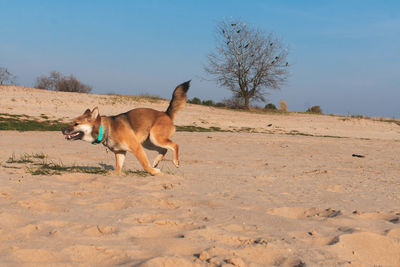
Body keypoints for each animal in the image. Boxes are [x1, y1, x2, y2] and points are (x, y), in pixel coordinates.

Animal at [61, 80, 190, 176]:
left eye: (76, 123)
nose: (62, 130)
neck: (107, 129)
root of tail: (166, 114)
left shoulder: (137, 148)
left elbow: (145, 165)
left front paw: (154, 172)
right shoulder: (120, 152)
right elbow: (118, 168)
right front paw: (113, 173)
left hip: (155, 138)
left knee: (175, 145)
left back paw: (175, 162)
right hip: (148, 142)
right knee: (164, 149)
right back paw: (156, 162)